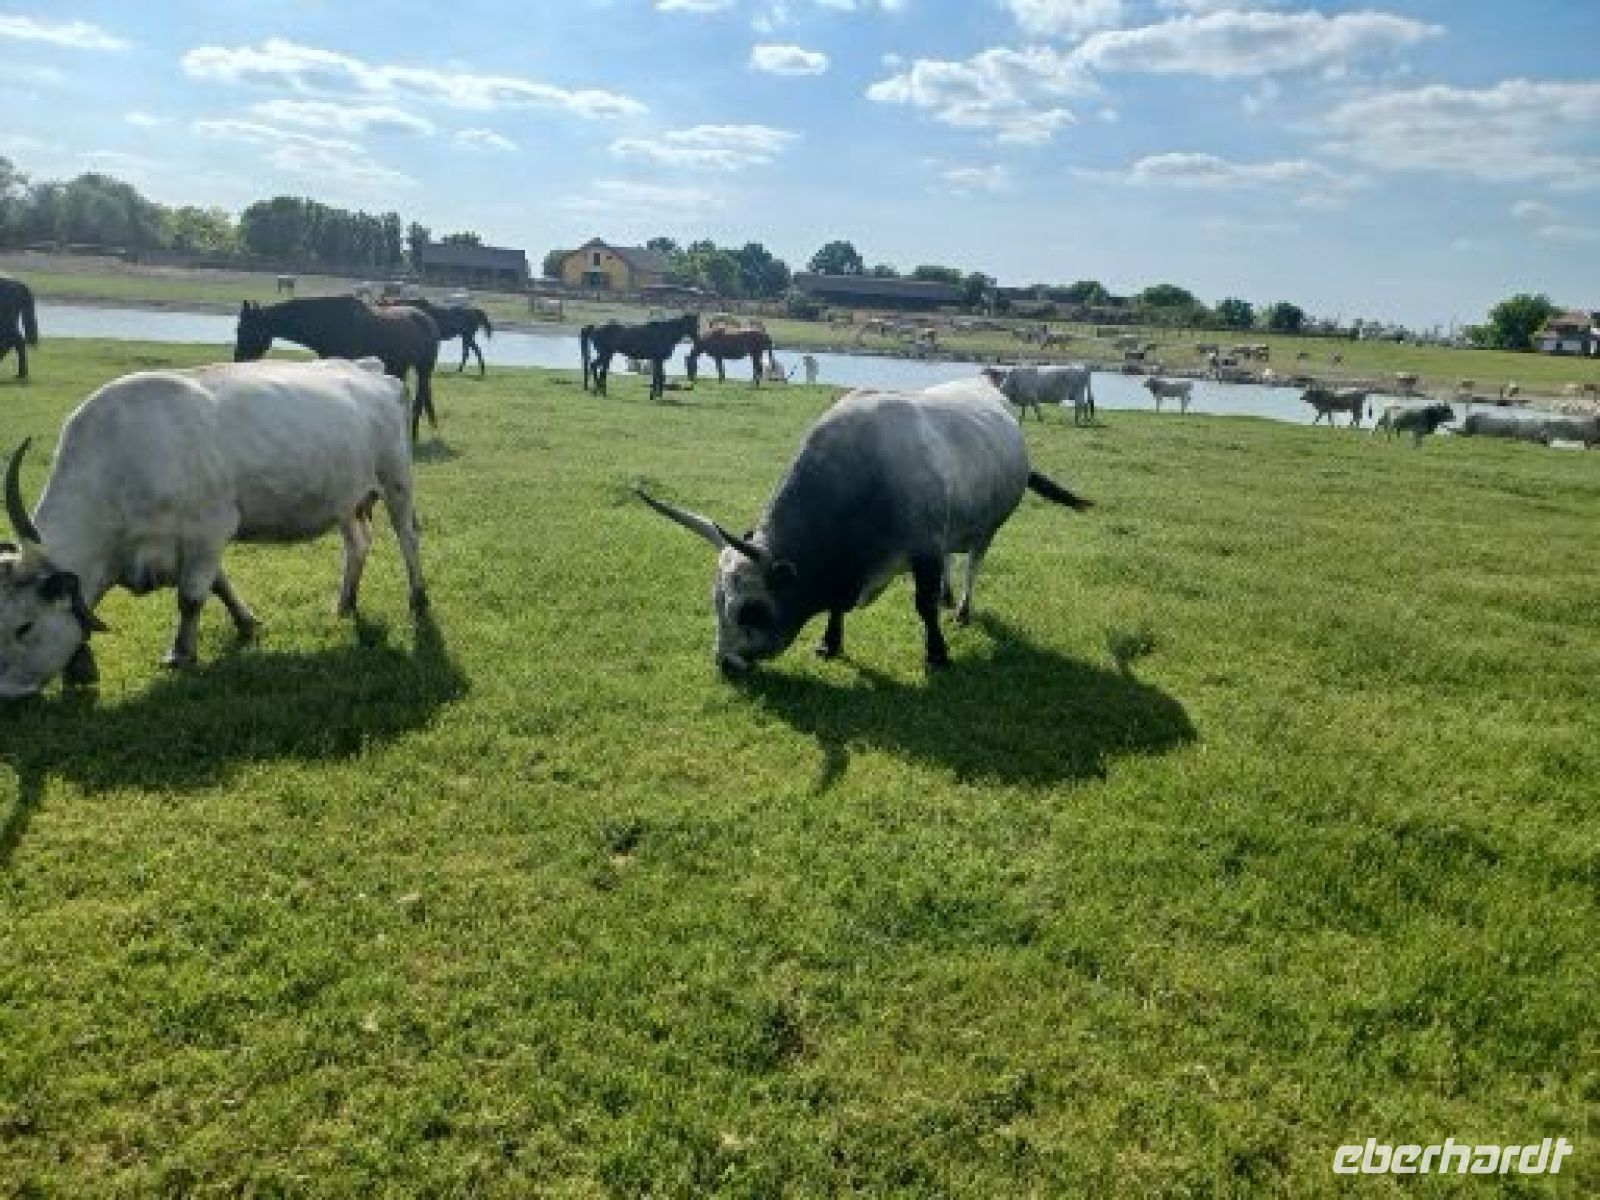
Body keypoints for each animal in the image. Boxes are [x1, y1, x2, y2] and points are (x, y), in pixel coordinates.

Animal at [234, 296, 440, 441]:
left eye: (246, 330)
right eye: (237, 329)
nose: (238, 360)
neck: (329, 324)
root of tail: (428, 319)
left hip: (423, 368)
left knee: (419, 400)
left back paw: (413, 436)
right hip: (399, 367)